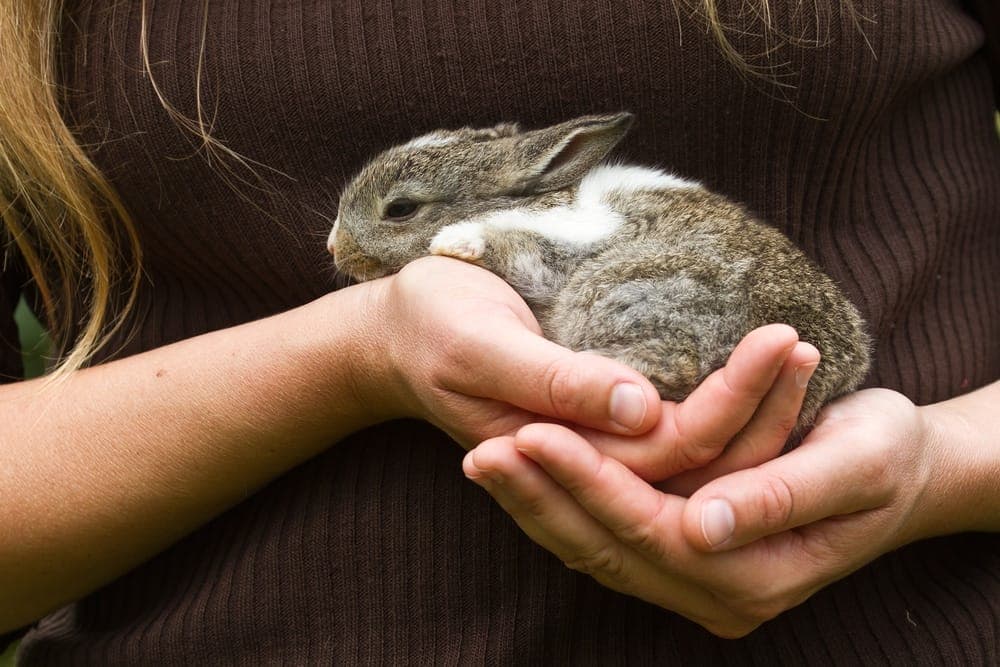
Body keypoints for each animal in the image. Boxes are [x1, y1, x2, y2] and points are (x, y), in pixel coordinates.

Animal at [327, 112, 870, 432]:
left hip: (623, 288)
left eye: (400, 209)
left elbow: (516, 247)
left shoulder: (566, 246)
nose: (335, 247)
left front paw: (455, 242)